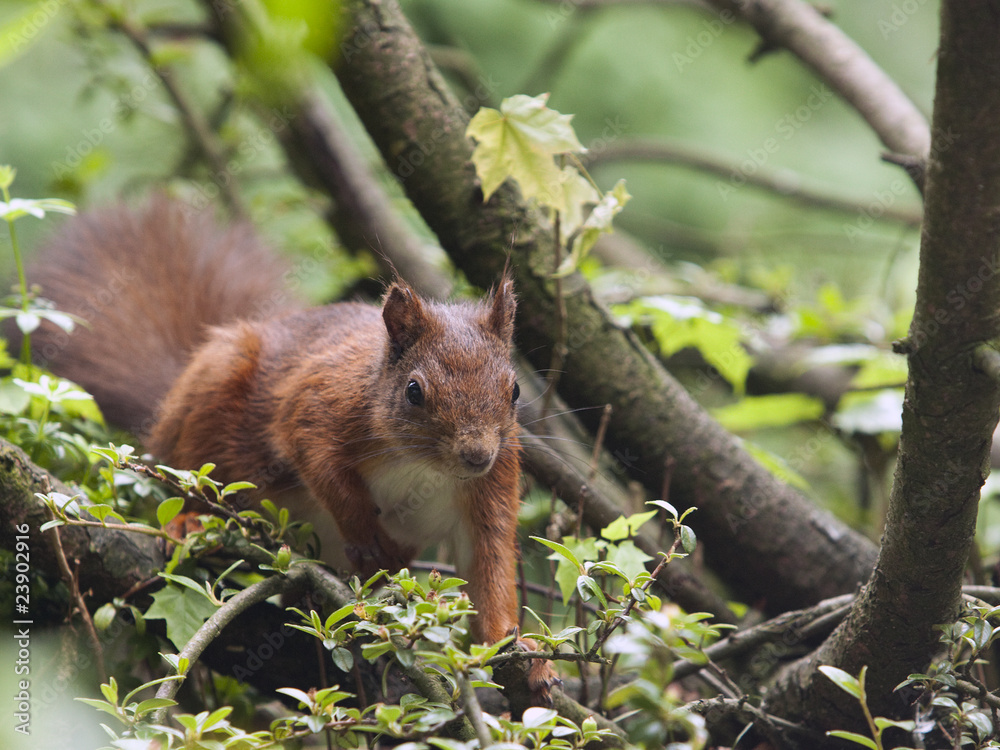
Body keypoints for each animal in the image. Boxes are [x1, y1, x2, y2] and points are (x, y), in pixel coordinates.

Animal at [24, 194, 554, 698]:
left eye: (515, 391)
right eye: (414, 391)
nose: (476, 455)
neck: (423, 468)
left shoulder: (492, 486)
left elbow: (489, 570)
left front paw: (524, 652)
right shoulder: (317, 407)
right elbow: (321, 466)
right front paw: (366, 535)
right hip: (210, 402)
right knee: (190, 473)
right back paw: (190, 518)